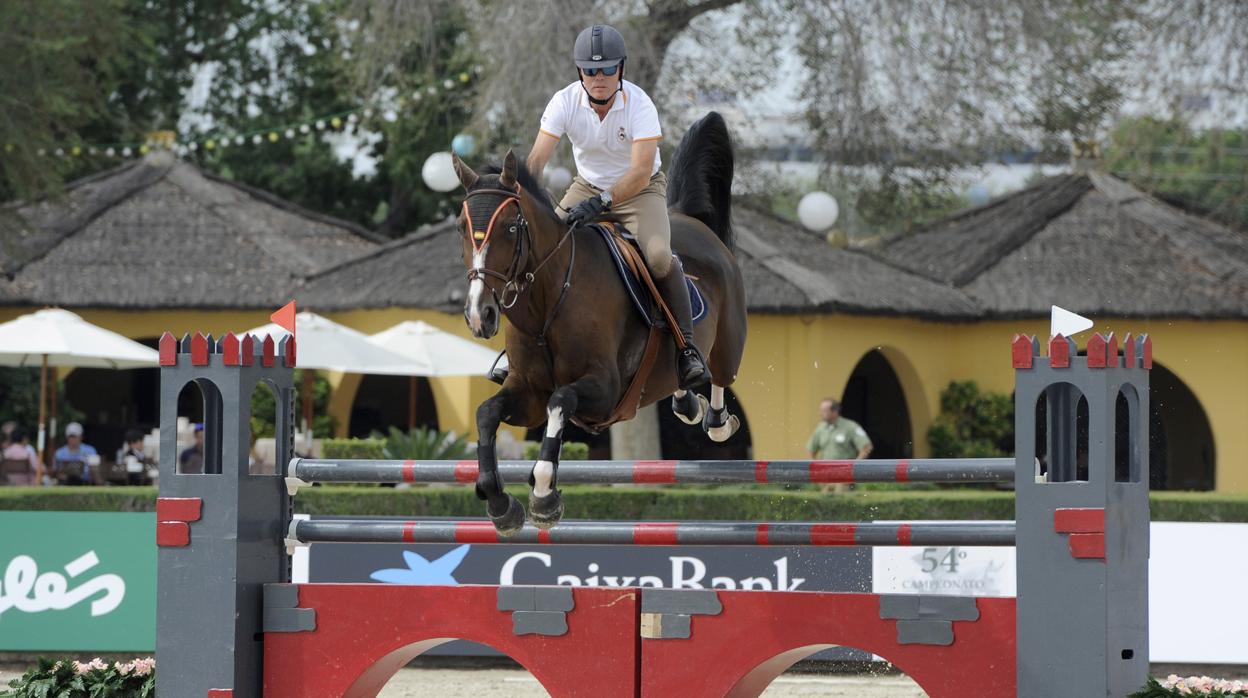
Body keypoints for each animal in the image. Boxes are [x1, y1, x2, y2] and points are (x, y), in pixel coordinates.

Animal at [454, 111, 743, 534]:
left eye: (510, 227)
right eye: (460, 229)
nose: (480, 314)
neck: (548, 304)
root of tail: (689, 219)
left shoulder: (605, 389)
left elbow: (561, 401)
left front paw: (544, 495)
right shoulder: (526, 392)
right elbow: (487, 413)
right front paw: (499, 502)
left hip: (727, 342)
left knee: (720, 372)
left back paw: (714, 413)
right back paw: (687, 401)